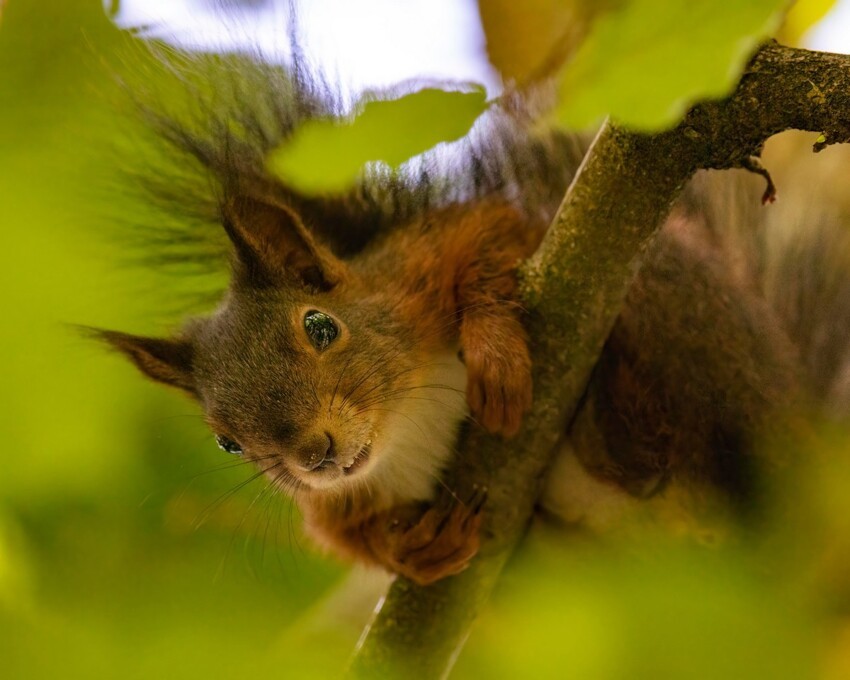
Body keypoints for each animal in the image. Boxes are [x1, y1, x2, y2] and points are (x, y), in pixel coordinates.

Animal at [93, 46, 848, 584]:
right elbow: (347, 536)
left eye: (320, 326)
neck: (402, 427)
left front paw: (497, 357)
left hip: (686, 311)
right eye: (226, 442)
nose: (315, 455)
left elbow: (492, 250)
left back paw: (617, 419)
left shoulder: (434, 256)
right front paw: (409, 551)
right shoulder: (332, 505)